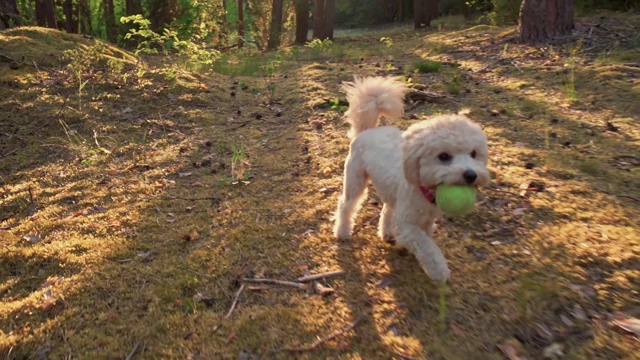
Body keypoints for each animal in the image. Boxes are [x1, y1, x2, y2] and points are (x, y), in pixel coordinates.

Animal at [336, 77, 490, 282]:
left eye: (473, 154)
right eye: (443, 156)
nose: (471, 175)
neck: (426, 190)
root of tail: (366, 131)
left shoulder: (425, 220)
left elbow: (425, 238)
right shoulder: (408, 226)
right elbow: (426, 247)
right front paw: (438, 271)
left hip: (390, 190)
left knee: (387, 208)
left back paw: (387, 232)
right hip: (355, 181)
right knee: (346, 205)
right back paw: (342, 231)